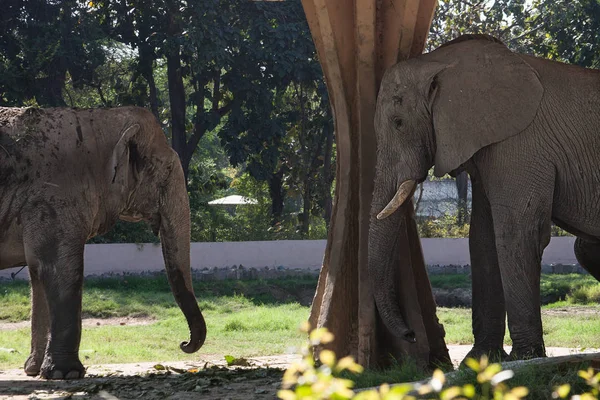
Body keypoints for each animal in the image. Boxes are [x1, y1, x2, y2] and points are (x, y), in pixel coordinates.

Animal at [0, 105, 206, 378]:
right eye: (166, 173)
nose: (183, 344)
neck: (99, 120)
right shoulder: (54, 198)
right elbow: (59, 269)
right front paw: (66, 374)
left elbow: (38, 273)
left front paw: (34, 370)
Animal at [368, 33, 600, 362]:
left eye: (399, 122)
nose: (411, 335)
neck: (441, 61)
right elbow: (482, 239)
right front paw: (479, 361)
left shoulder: (519, 144)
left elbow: (516, 233)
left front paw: (524, 358)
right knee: (585, 247)